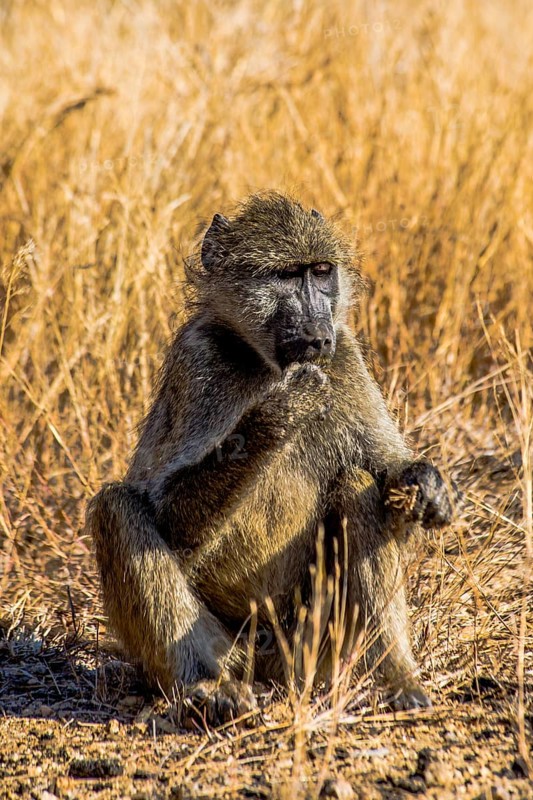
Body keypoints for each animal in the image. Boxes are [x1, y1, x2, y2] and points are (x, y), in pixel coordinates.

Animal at [86, 192, 455, 726]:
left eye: (320, 271)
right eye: (284, 276)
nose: (317, 331)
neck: (263, 361)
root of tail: (266, 661)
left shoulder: (345, 354)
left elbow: (386, 473)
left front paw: (425, 482)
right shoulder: (198, 361)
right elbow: (169, 518)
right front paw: (284, 405)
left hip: (311, 647)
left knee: (356, 484)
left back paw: (395, 677)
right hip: (233, 647)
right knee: (116, 507)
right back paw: (208, 690)